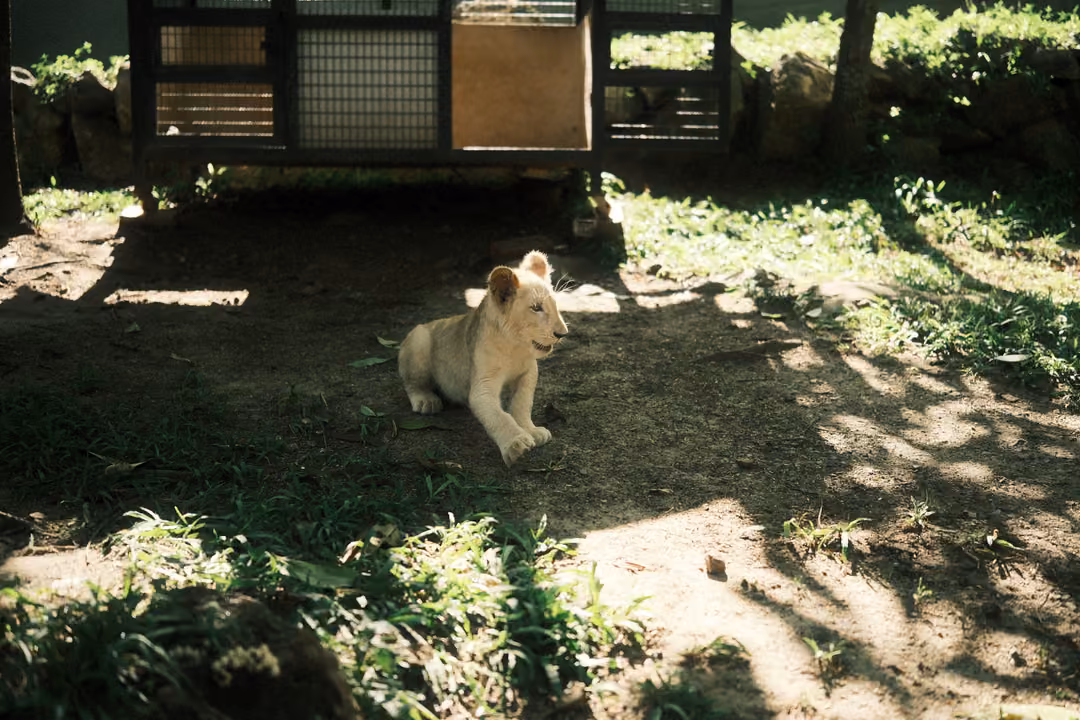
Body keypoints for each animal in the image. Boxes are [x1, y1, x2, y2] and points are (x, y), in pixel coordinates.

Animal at [398, 251, 568, 467]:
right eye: (536, 308)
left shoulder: (529, 373)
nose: (562, 333)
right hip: (419, 339)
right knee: (412, 383)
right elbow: (499, 416)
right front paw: (516, 443)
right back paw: (426, 401)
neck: (515, 346)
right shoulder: (483, 385)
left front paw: (531, 431)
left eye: (554, 305)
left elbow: (522, 403)